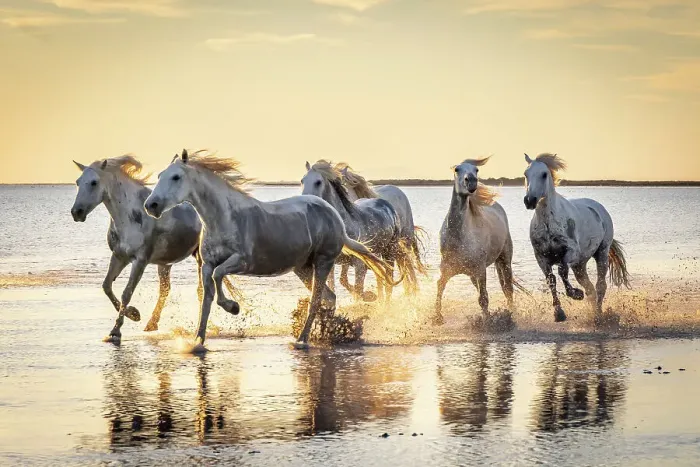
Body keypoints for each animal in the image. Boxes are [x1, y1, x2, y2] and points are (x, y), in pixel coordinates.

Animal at [70, 155, 227, 342]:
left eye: (94, 182)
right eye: (78, 182)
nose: (76, 212)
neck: (129, 217)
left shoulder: (140, 261)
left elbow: (127, 292)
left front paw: (116, 330)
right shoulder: (119, 257)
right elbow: (107, 286)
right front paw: (134, 314)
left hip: (199, 258)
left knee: (201, 291)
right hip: (165, 263)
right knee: (165, 290)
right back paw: (151, 324)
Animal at [144, 150, 394, 350]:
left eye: (176, 177)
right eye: (159, 176)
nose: (151, 205)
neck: (223, 218)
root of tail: (335, 217)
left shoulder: (242, 262)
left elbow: (219, 276)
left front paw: (233, 307)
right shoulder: (207, 264)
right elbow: (207, 298)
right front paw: (197, 343)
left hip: (323, 262)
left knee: (316, 300)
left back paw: (302, 340)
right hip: (303, 268)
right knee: (329, 298)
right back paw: (324, 334)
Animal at [301, 160, 406, 303]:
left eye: (318, 182)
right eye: (302, 180)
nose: (304, 200)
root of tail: (387, 204)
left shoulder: (360, 265)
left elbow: (358, 290)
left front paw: (368, 296)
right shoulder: (333, 264)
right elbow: (338, 283)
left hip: (389, 252)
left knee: (388, 283)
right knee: (380, 279)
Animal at [432, 156, 515, 325]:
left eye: (476, 170)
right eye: (457, 169)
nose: (471, 181)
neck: (458, 238)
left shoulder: (480, 270)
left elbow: (483, 298)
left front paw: (487, 322)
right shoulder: (446, 269)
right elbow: (439, 287)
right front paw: (437, 317)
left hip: (504, 259)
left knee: (508, 288)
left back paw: (511, 312)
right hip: (472, 275)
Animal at [523, 153, 631, 323]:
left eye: (544, 174)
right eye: (526, 174)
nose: (530, 200)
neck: (548, 224)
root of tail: (599, 208)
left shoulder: (570, 252)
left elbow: (561, 271)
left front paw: (576, 294)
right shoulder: (541, 258)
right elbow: (551, 280)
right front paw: (559, 313)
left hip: (601, 253)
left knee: (600, 286)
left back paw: (598, 316)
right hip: (580, 265)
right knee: (590, 288)